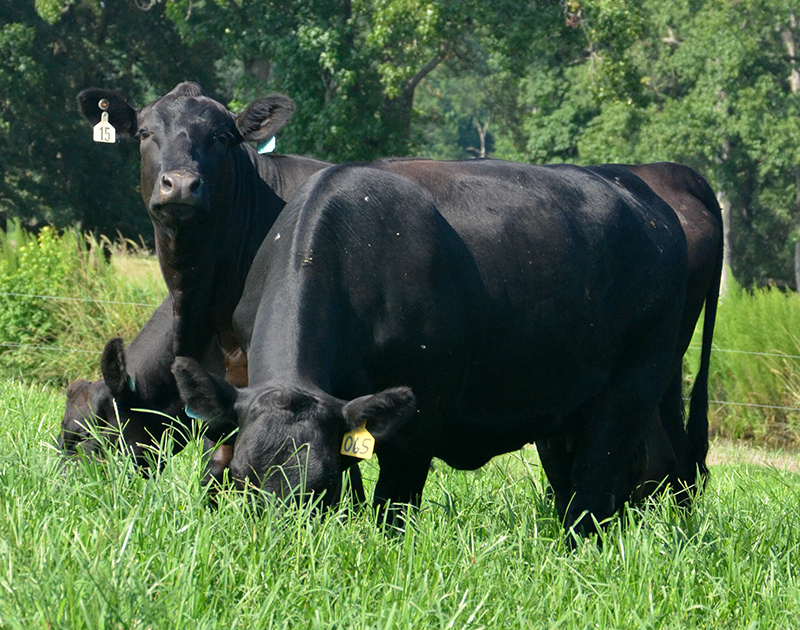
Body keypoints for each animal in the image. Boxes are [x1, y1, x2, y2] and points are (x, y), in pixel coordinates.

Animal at [172, 159, 690, 534]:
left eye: (321, 485)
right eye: (243, 478)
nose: (281, 545)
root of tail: (645, 198)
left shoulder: (417, 425)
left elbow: (391, 510)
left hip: (634, 385)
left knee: (597, 487)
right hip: (564, 410)